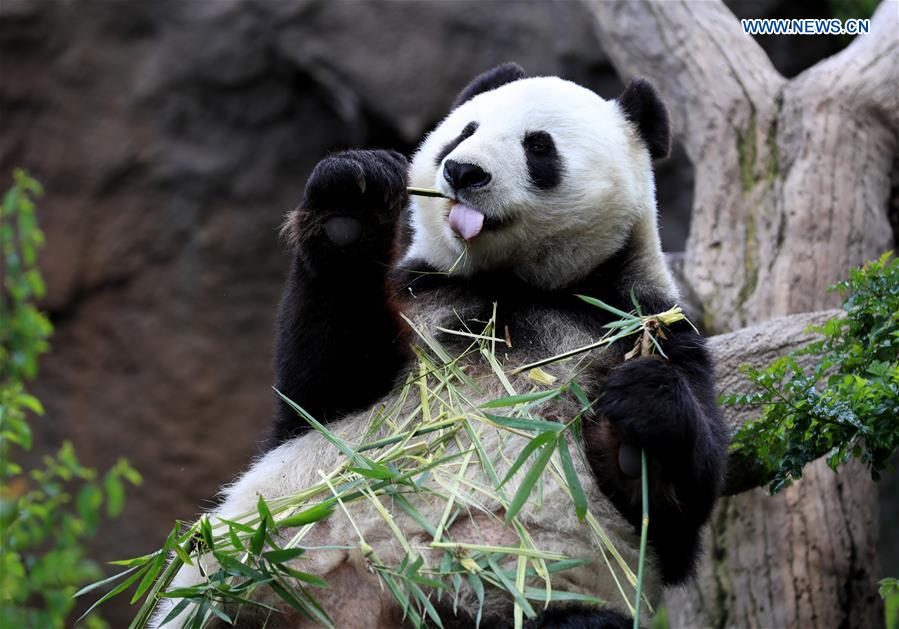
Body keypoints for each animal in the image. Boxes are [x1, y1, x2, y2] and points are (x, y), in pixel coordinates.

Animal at [158, 63, 728, 628]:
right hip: (252, 578)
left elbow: (672, 518)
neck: (511, 286)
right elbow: (322, 390)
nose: (463, 172)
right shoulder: (422, 294)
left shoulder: (641, 324)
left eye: (538, 146)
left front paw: (641, 412)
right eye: (464, 131)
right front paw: (351, 205)